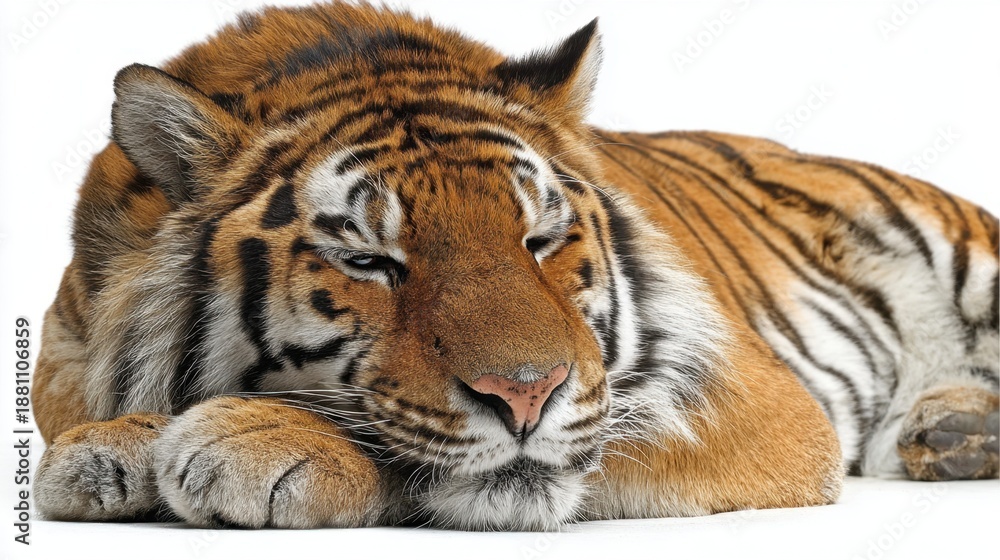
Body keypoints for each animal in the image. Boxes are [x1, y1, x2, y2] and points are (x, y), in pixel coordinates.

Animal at [32, 2, 998, 531]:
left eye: (538, 240)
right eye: (368, 260)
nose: (527, 396)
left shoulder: (755, 403)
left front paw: (249, 442)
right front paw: (113, 451)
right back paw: (952, 433)